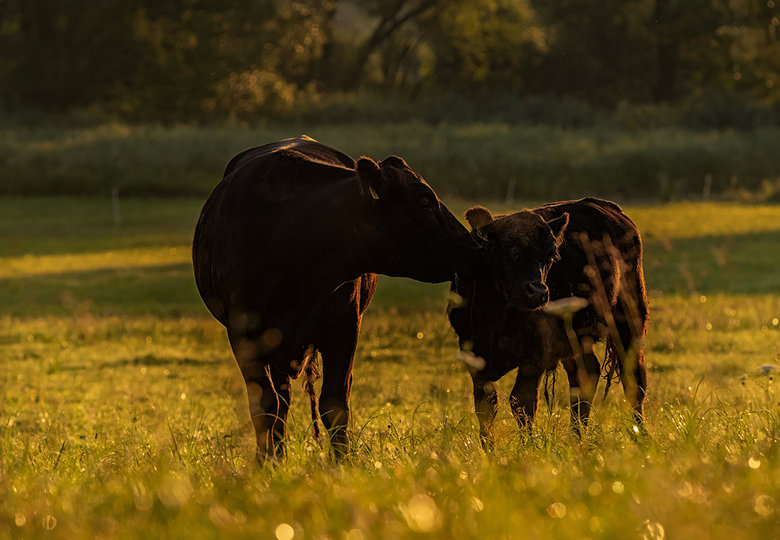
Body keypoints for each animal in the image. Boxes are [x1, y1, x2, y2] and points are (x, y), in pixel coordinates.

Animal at [194, 136, 482, 460]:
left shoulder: (344, 323)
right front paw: (268, 463)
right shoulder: (242, 331)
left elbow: (334, 403)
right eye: (424, 203)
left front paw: (341, 463)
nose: (475, 247)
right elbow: (265, 405)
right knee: (281, 400)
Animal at [448, 198, 648, 448]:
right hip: (577, 338)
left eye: (551, 256)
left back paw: (641, 436)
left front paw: (527, 449)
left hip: (630, 316)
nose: (538, 292)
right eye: (511, 249)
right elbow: (486, 405)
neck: (495, 316)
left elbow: (521, 402)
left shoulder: (537, 354)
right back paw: (577, 439)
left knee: (634, 380)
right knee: (585, 376)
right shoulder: (473, 353)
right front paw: (489, 451)